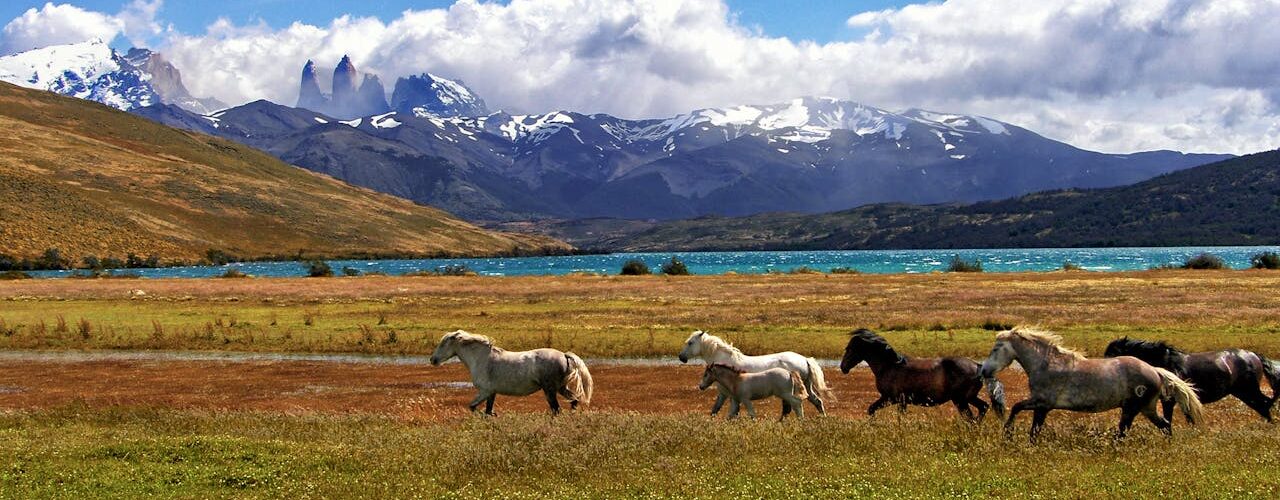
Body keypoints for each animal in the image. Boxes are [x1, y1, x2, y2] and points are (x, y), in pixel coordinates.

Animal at [430, 330, 593, 416]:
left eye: (443, 344)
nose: (432, 360)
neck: (481, 359)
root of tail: (564, 355)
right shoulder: (491, 393)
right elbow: (487, 411)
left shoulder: (485, 391)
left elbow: (473, 407)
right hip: (560, 388)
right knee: (574, 400)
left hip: (550, 390)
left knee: (557, 409)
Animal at [679, 330, 835, 415]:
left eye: (690, 342)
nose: (681, 357)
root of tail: (805, 359)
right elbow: (719, 410)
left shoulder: (724, 392)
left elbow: (720, 409)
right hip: (806, 386)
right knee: (817, 401)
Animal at [840, 328, 1005, 421]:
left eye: (850, 348)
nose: (843, 367)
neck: (889, 366)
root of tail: (978, 366)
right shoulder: (898, 401)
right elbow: (873, 410)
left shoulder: (892, 399)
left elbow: (875, 410)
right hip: (968, 398)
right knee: (983, 407)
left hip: (961, 400)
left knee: (971, 417)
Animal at [979, 327, 1204, 441]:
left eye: (996, 348)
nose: (984, 371)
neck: (1046, 364)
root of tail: (1155, 370)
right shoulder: (1041, 406)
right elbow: (1031, 426)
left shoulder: (1042, 403)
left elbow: (1019, 411)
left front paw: (1008, 433)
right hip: (1146, 408)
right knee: (1164, 425)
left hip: (1132, 409)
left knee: (1125, 431)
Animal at [1104, 337, 1280, 423]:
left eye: (1112, 355)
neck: (1165, 362)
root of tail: (1254, 355)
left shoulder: (1169, 400)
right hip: (1243, 393)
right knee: (1264, 404)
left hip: (1248, 391)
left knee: (1264, 404)